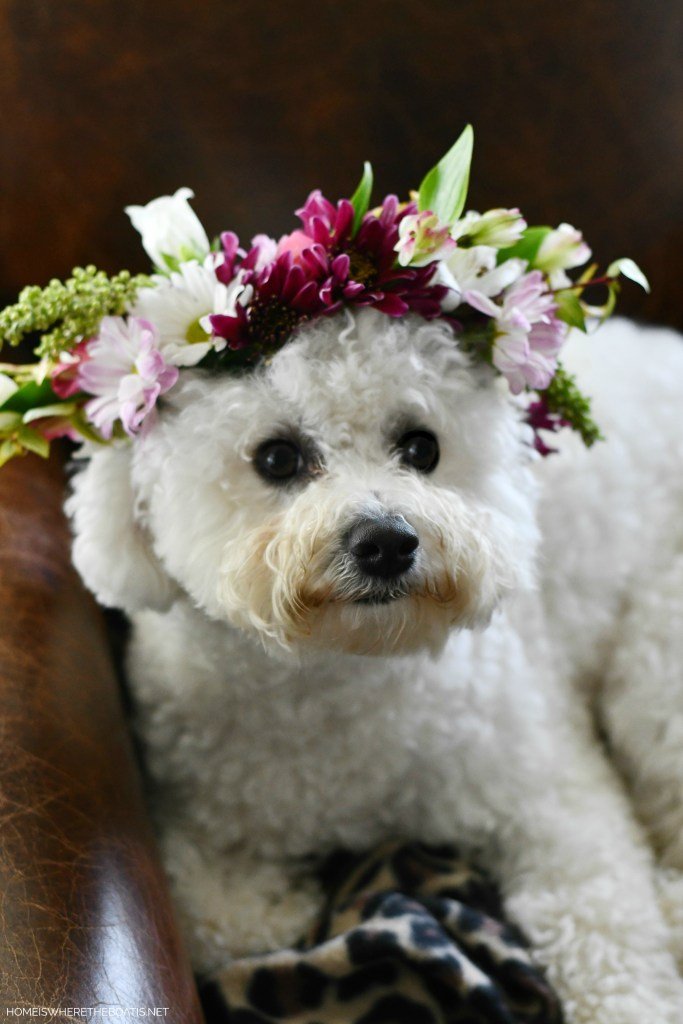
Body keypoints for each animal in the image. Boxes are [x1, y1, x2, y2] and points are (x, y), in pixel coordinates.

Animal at [68, 307, 683, 1019]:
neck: (342, 668)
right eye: (277, 456)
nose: (387, 542)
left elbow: (608, 932)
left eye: (421, 448)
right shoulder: (196, 824)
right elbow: (225, 916)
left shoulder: (554, 798)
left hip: (655, 664)